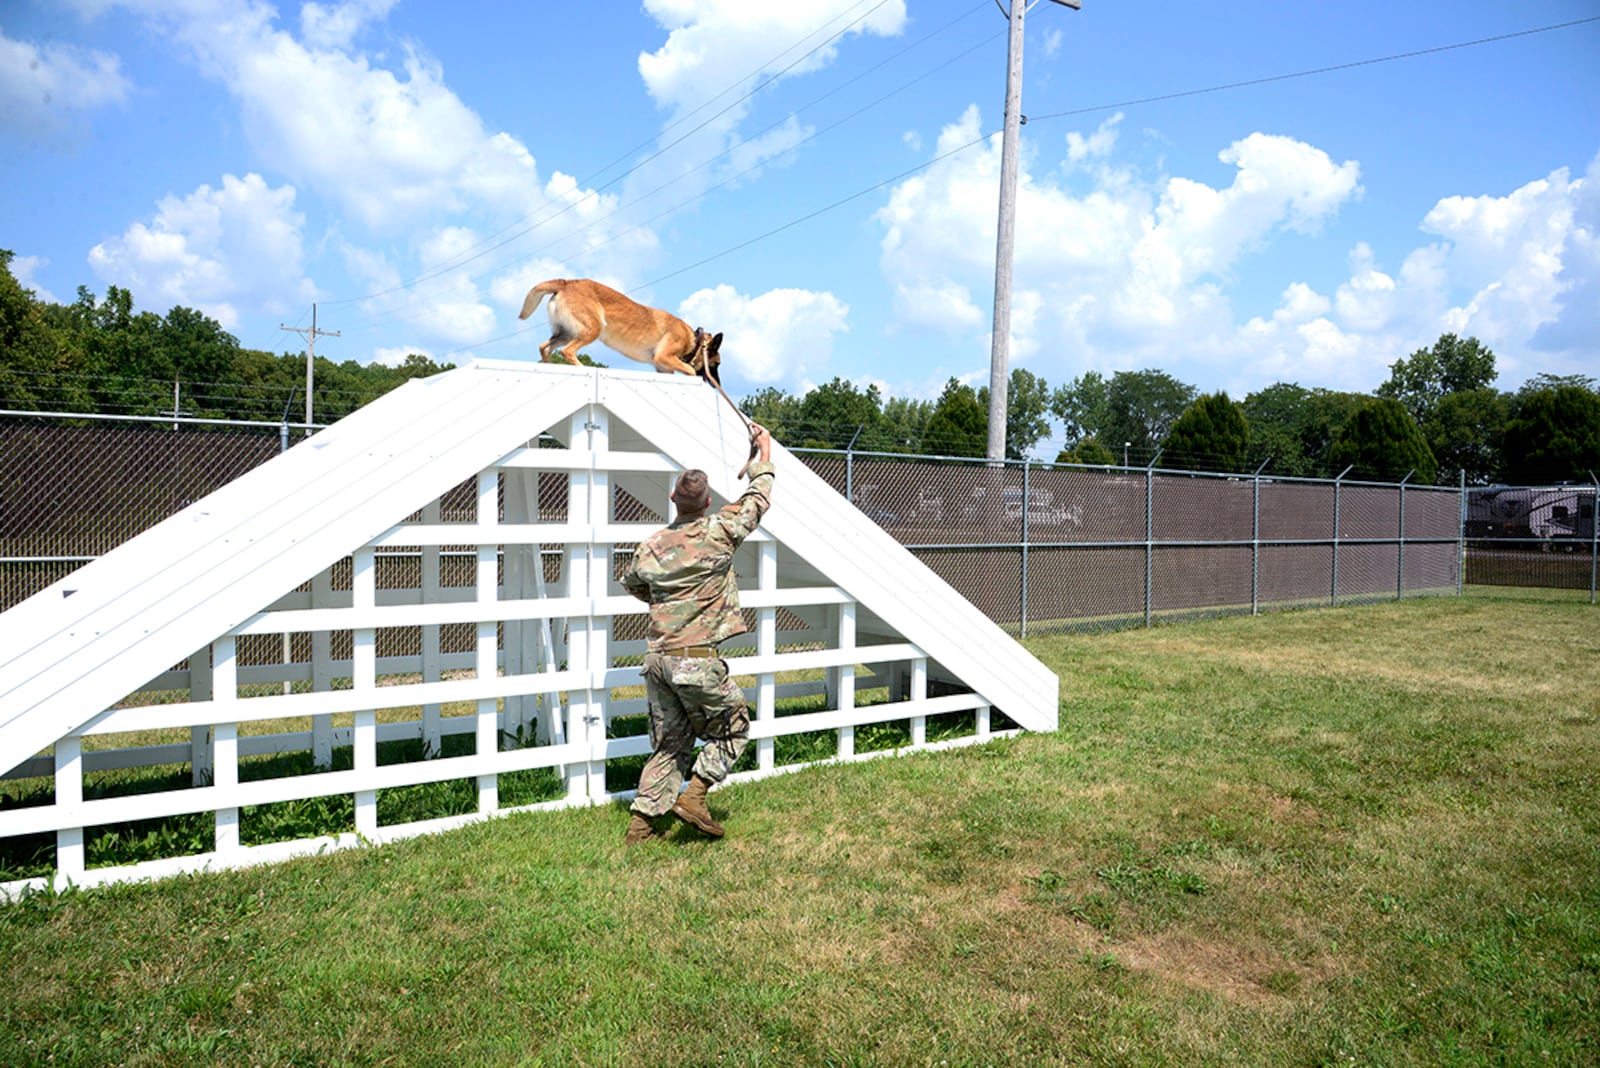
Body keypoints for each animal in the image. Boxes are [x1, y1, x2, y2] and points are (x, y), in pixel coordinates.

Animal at [521, 279, 723, 383]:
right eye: (716, 364)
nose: (717, 385)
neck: (694, 341)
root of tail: (566, 283)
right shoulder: (663, 357)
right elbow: (690, 370)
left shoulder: (663, 368)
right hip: (593, 329)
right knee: (567, 351)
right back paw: (583, 368)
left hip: (566, 333)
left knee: (545, 347)